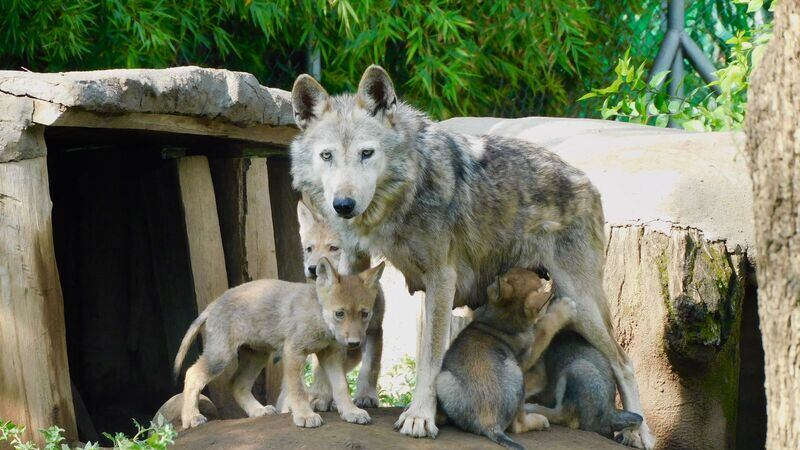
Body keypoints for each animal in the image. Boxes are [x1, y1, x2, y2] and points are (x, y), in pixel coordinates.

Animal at [174, 257, 384, 430]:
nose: (354, 343)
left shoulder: (330, 354)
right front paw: (305, 416)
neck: (318, 316)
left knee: (236, 384)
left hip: (256, 356)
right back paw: (191, 417)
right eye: (339, 314)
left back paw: (258, 411)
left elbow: (341, 387)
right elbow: (298, 390)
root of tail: (213, 303)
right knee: (192, 374)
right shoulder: (294, 352)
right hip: (221, 356)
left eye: (364, 314)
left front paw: (351, 411)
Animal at [437, 268, 575, 450]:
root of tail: (489, 422)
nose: (543, 273)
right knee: (518, 425)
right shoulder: (529, 354)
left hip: (443, 379)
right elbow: (546, 326)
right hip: (517, 374)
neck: (499, 322)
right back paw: (539, 421)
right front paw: (564, 308)